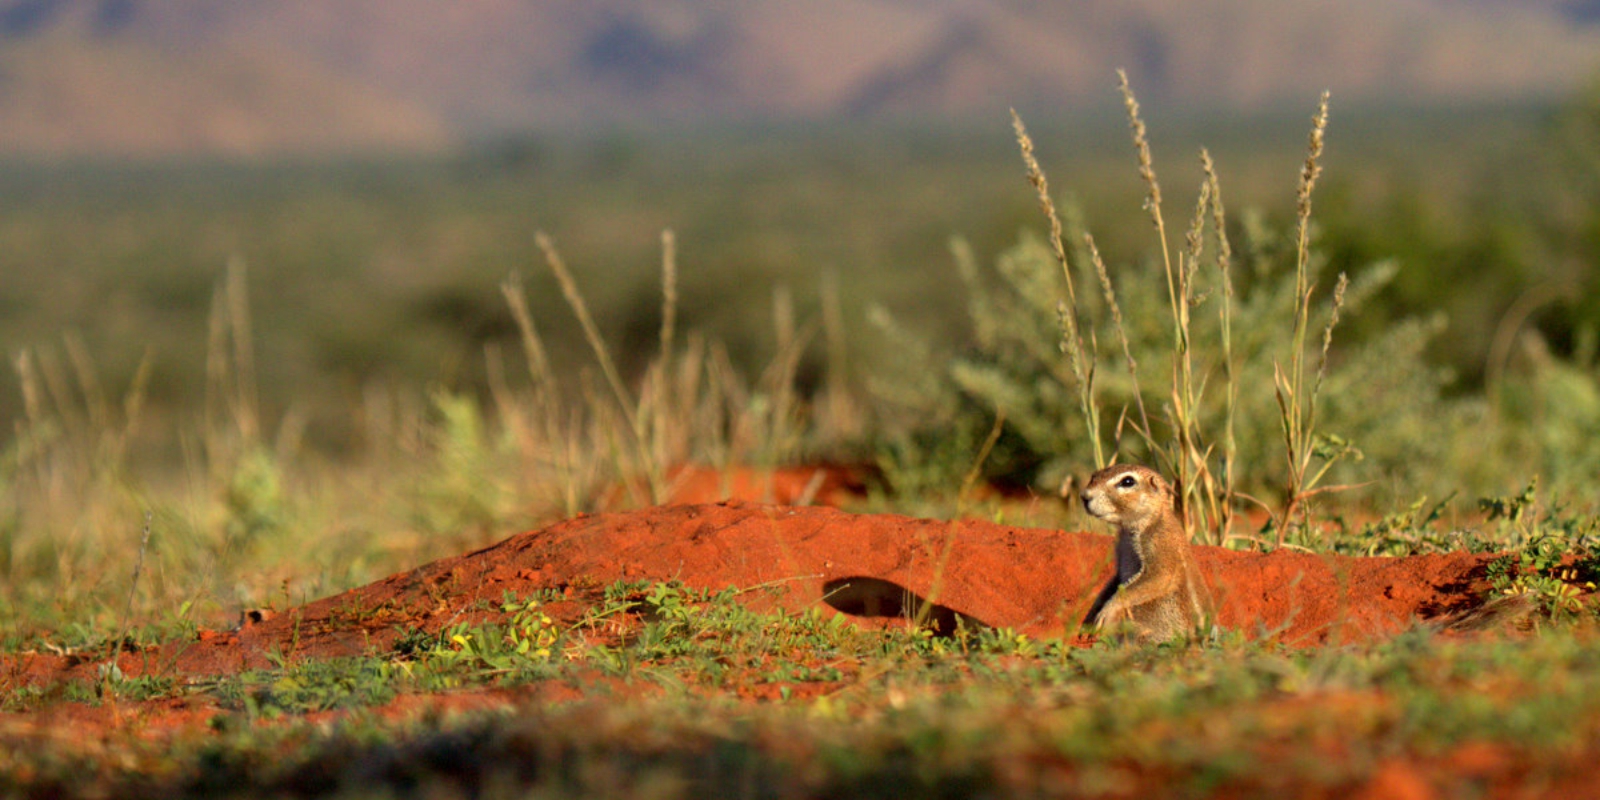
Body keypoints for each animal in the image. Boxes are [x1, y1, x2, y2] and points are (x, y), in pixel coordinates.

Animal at [1081, 467, 1216, 640]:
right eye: (1094, 476)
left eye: (1127, 481)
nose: (1085, 496)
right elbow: (1112, 585)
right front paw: (1089, 618)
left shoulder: (1161, 544)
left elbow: (1157, 577)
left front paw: (1106, 612)